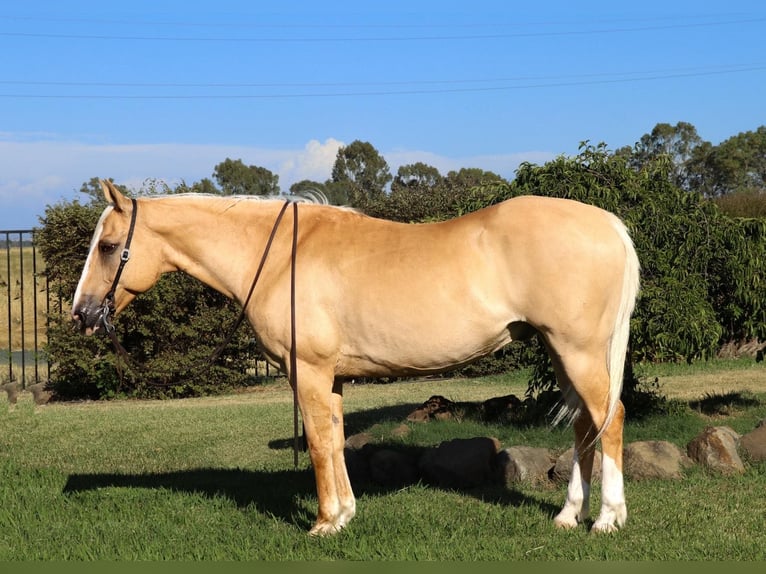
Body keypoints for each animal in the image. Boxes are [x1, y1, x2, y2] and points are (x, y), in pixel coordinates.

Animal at [72, 180, 640, 535]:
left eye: (108, 245)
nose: (81, 313)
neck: (278, 257)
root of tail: (609, 225)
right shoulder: (333, 378)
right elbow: (337, 439)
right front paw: (344, 513)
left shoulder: (307, 372)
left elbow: (319, 445)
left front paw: (324, 523)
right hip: (561, 352)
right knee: (584, 428)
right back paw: (568, 516)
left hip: (578, 351)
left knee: (610, 421)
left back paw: (607, 519)